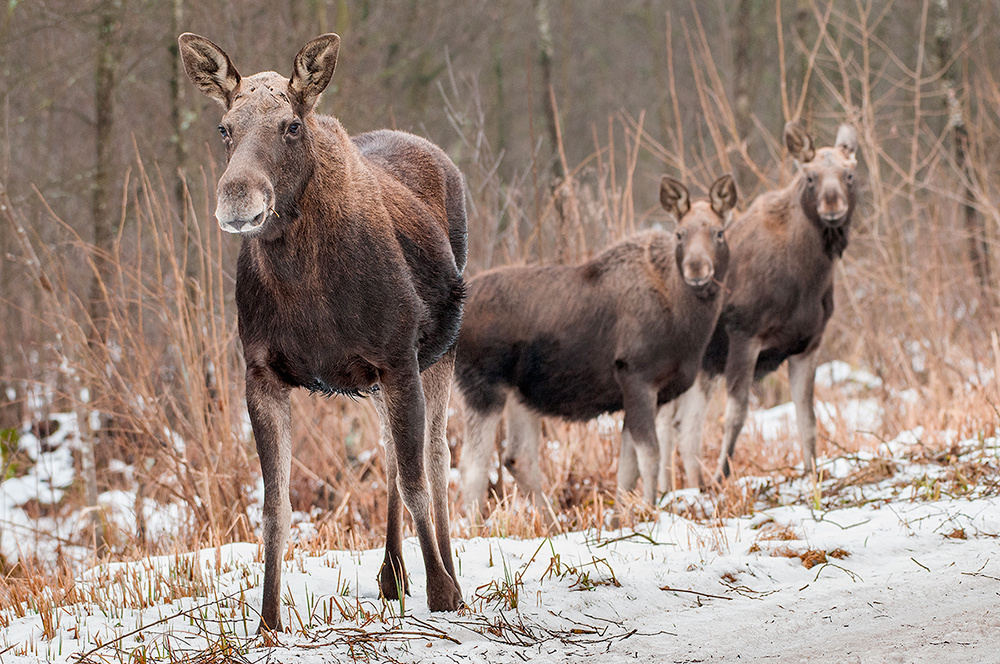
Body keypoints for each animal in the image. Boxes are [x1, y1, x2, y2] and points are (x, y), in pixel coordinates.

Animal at [180, 32, 468, 632]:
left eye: (292, 125)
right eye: (224, 127)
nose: (237, 198)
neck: (304, 287)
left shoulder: (399, 357)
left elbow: (416, 479)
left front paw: (443, 593)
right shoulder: (261, 373)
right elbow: (275, 506)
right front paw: (268, 621)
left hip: (440, 351)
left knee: (434, 457)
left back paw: (446, 574)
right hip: (378, 380)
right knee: (391, 452)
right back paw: (391, 575)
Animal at [458, 174, 740, 528]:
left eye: (719, 232)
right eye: (680, 234)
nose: (697, 270)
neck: (687, 322)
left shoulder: (645, 394)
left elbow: (628, 468)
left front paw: (622, 518)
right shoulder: (637, 377)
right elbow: (651, 456)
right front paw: (649, 512)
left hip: (521, 395)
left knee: (517, 457)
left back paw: (551, 525)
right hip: (483, 386)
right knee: (472, 466)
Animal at [656, 122, 860, 490]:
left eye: (849, 174)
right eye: (810, 177)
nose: (832, 205)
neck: (808, 275)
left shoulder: (808, 345)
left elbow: (807, 418)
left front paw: (812, 474)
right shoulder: (745, 336)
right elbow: (735, 417)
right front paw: (722, 479)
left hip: (702, 369)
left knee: (684, 426)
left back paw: (689, 487)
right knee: (669, 424)